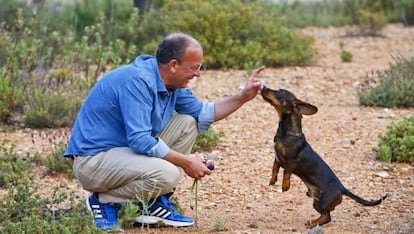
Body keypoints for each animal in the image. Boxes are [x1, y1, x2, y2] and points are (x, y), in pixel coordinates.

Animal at [260, 86, 386, 229]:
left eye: (280, 91)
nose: (263, 87)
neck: (287, 133)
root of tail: (342, 188)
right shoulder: (277, 158)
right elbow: (274, 168)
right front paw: (272, 180)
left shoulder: (292, 161)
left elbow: (286, 172)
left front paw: (285, 186)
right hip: (316, 202)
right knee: (325, 216)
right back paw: (313, 222)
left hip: (323, 202)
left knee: (327, 217)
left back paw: (313, 224)